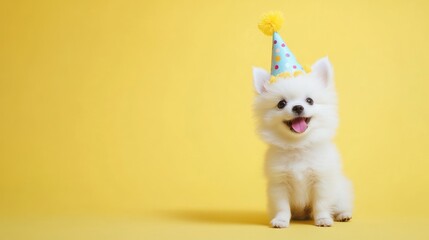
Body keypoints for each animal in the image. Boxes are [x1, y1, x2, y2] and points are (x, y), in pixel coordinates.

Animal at [251, 57, 352, 228]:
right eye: (281, 104)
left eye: (309, 101)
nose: (298, 107)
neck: (298, 145)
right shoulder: (279, 183)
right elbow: (282, 206)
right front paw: (281, 220)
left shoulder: (321, 180)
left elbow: (321, 204)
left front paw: (323, 219)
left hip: (340, 193)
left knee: (342, 205)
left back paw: (343, 215)